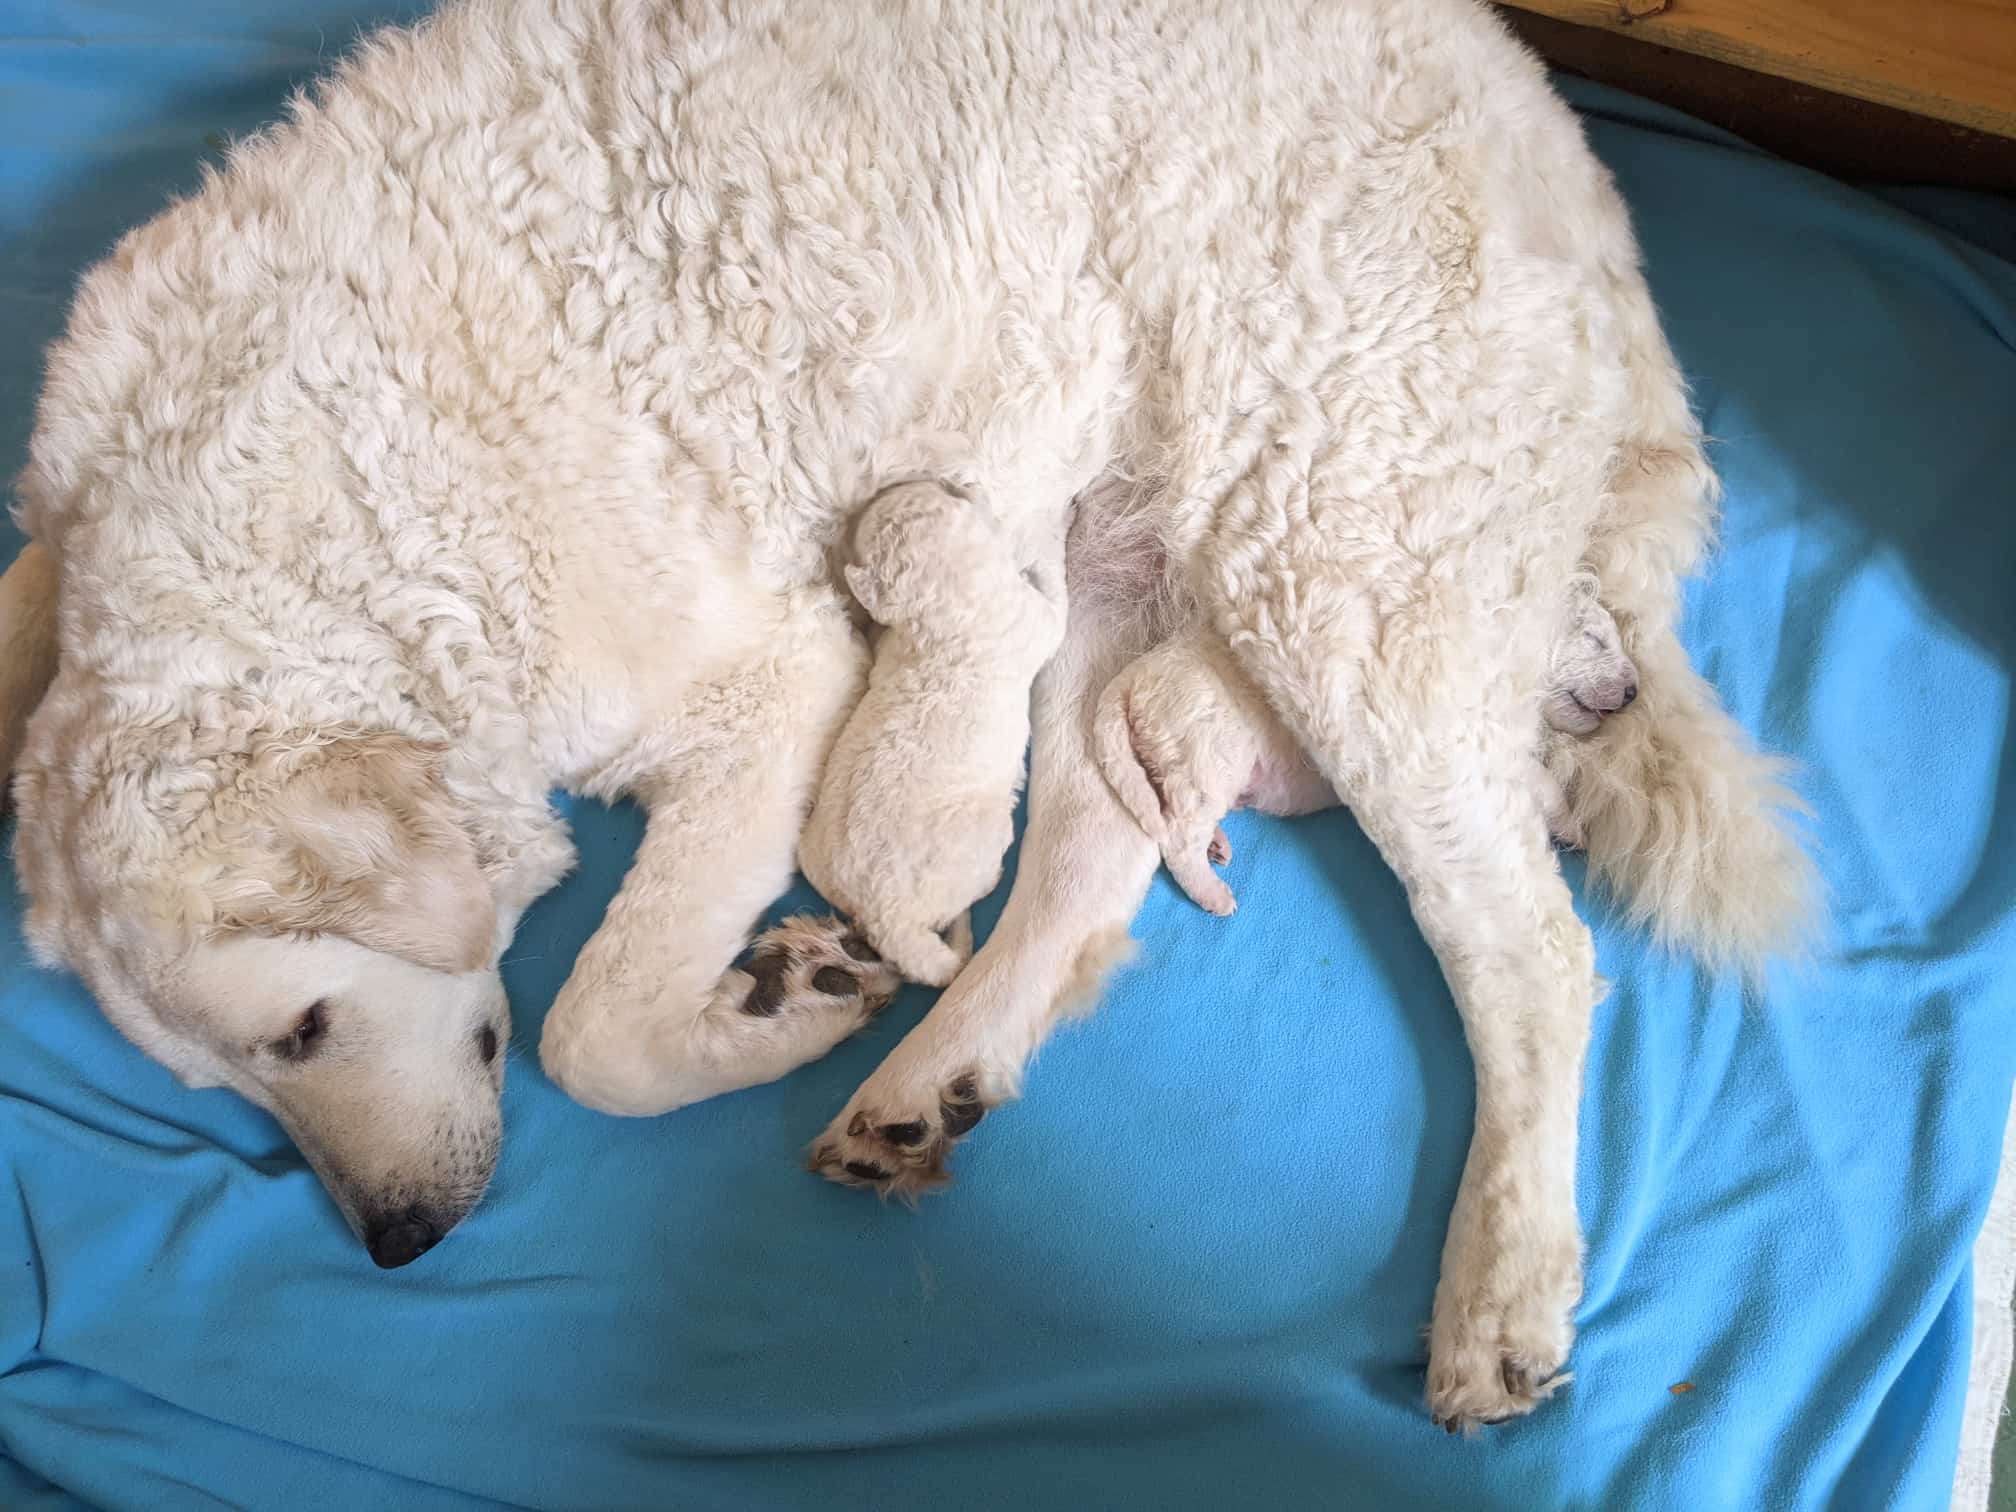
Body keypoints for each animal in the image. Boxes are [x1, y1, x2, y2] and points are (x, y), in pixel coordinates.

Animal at [799, 480, 1064, 986]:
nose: (863, 510)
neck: (951, 614)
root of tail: (886, 916)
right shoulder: (1034, 619)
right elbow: (1058, 603)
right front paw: (1050, 552)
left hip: (814, 858)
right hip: (984, 837)